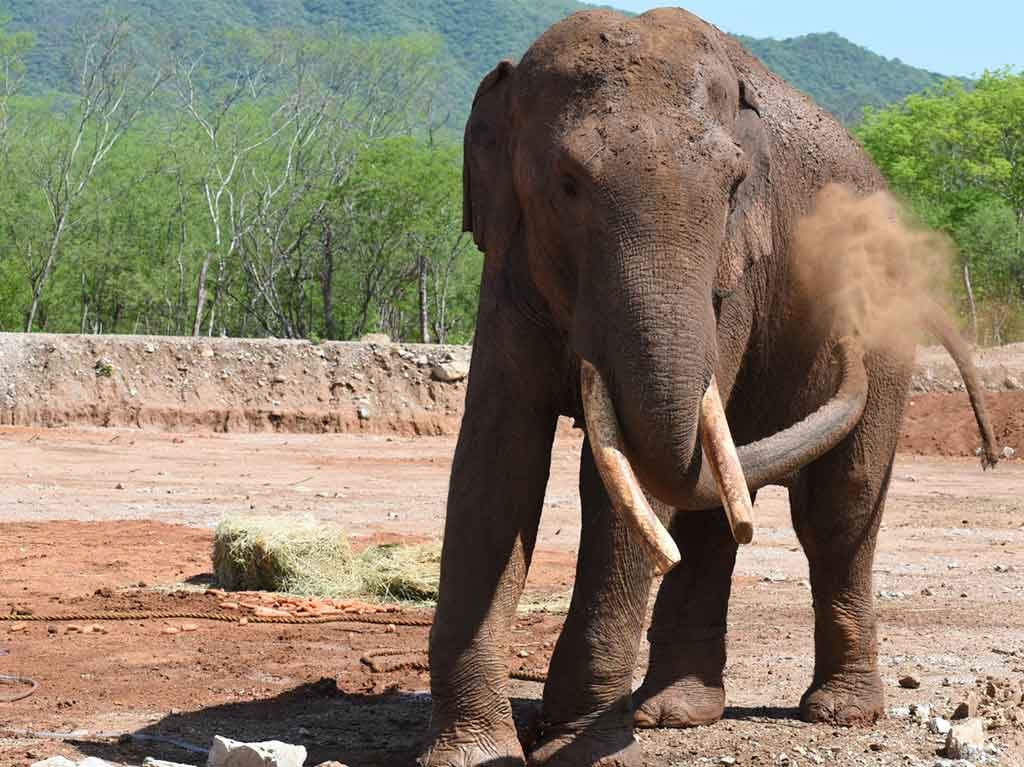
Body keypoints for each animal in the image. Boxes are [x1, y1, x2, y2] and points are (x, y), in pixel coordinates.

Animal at [417, 7, 999, 765]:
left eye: (733, 186)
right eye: (568, 182)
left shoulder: (733, 275)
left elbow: (624, 477)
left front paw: (582, 742)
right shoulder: (510, 260)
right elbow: (496, 461)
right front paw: (476, 753)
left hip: (888, 346)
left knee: (837, 506)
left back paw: (838, 713)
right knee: (718, 507)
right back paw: (675, 713)